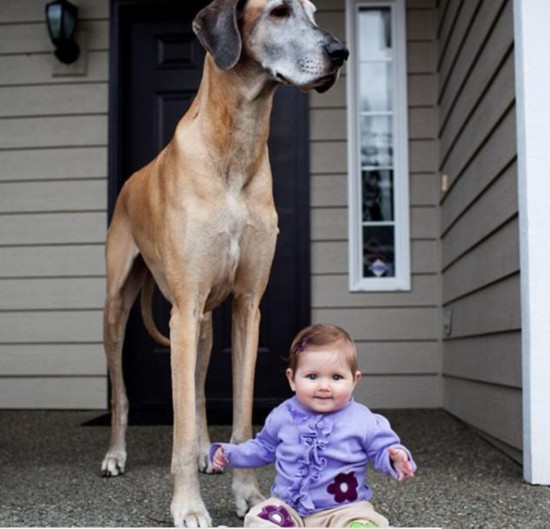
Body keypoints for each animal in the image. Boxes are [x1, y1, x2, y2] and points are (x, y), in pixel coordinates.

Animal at [101, 0, 348, 524]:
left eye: (314, 12)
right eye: (279, 11)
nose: (340, 53)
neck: (237, 144)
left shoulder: (246, 306)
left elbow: (238, 411)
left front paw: (249, 495)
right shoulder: (184, 309)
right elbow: (177, 425)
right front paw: (188, 507)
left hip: (203, 323)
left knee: (196, 386)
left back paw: (203, 450)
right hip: (119, 307)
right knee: (123, 391)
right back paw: (115, 453)